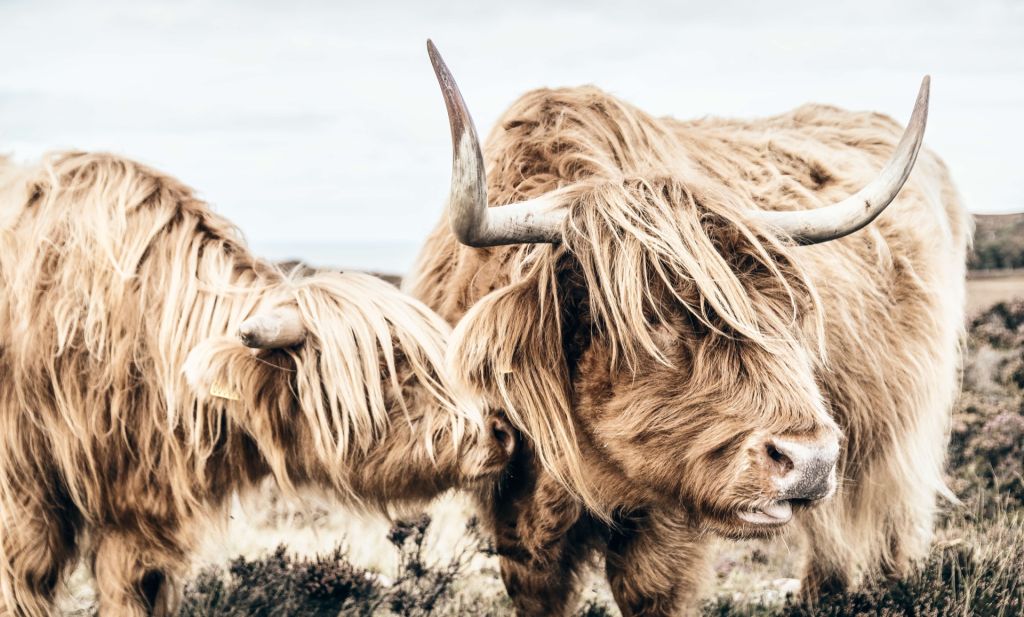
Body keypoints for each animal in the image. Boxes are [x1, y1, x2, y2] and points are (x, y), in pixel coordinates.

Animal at [407, 40, 966, 613]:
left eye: (784, 312)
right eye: (650, 318)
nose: (810, 459)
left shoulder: (665, 521)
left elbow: (649, 590)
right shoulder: (512, 519)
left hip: (894, 427)